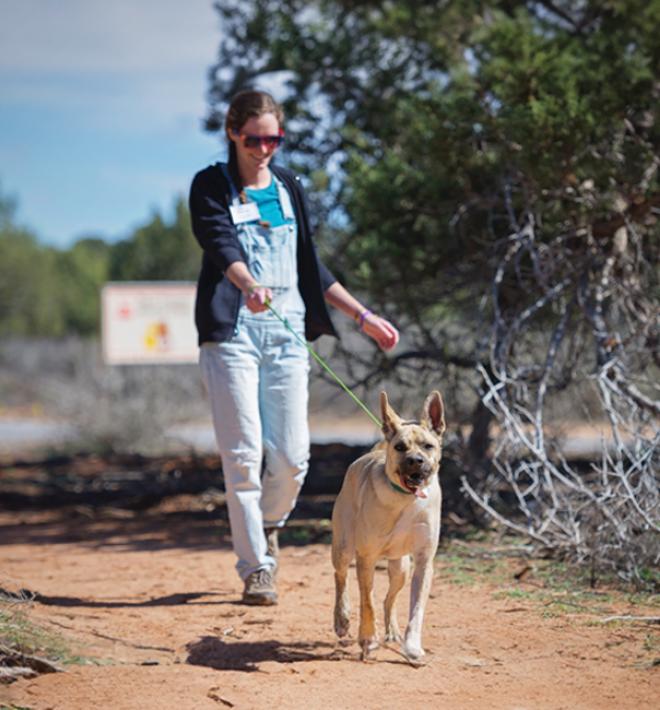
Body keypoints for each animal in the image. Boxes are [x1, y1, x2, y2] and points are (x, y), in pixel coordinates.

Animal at [332, 390, 446, 660]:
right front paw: (367, 639)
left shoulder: (424, 561)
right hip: (343, 548)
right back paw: (341, 620)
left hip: (401, 567)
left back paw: (393, 631)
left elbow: (416, 608)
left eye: (428, 446)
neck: (407, 499)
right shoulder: (366, 558)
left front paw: (412, 646)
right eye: (400, 447)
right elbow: (367, 602)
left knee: (389, 599)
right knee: (341, 578)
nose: (416, 461)